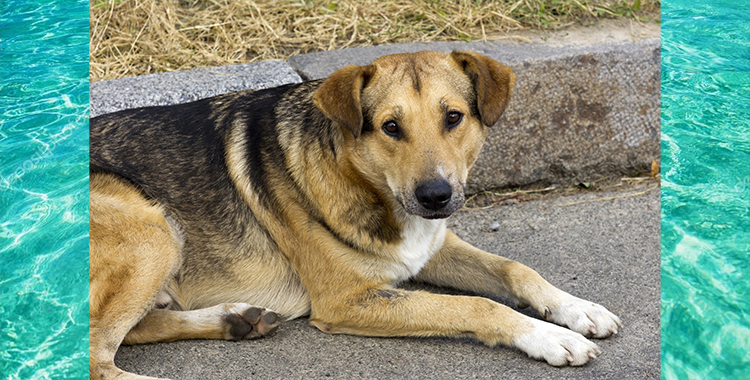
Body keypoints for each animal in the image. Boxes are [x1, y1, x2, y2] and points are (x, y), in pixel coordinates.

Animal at [89, 50, 624, 380]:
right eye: (390, 127)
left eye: (453, 117)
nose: (436, 196)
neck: (367, 184)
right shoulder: (348, 299)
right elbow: (477, 306)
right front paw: (547, 336)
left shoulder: (430, 248)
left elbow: (516, 269)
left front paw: (575, 309)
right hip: (152, 230)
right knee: (97, 358)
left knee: (131, 332)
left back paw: (233, 320)